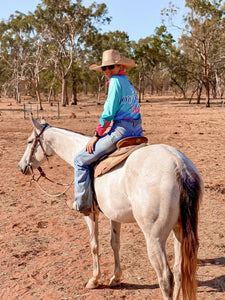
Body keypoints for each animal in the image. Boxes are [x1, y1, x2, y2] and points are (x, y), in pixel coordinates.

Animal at [18, 116, 204, 298]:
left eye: (29, 141)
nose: (21, 166)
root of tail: (179, 165)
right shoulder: (115, 215)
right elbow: (115, 243)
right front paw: (115, 277)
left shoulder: (90, 214)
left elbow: (94, 244)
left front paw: (94, 279)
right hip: (179, 230)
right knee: (179, 271)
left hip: (155, 238)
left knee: (166, 278)